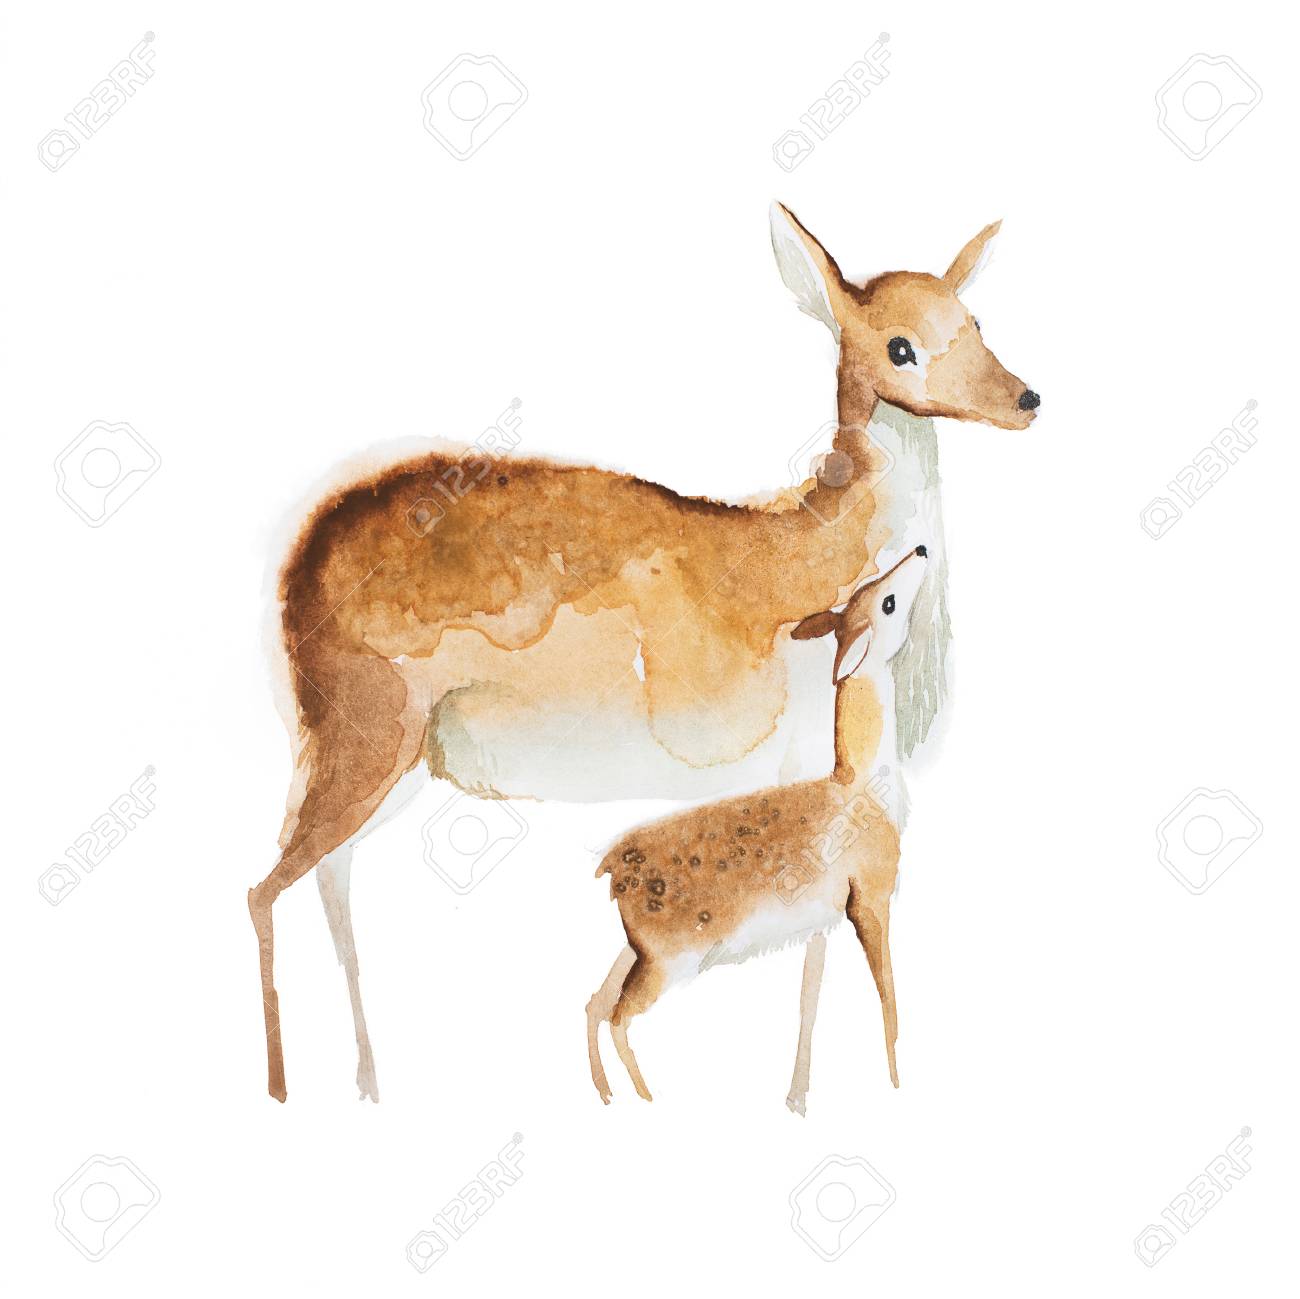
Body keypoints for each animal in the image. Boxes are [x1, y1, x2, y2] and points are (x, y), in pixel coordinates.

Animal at [587, 546, 928, 1110]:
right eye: (888, 602)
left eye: (872, 591)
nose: (922, 549)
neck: (860, 786)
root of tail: (609, 869)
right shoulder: (871, 900)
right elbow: (890, 1002)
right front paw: (896, 1080)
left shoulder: (821, 923)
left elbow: (809, 1002)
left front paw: (798, 1099)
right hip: (669, 962)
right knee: (617, 1016)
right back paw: (648, 1098)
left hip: (635, 950)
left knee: (594, 1003)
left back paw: (609, 1095)